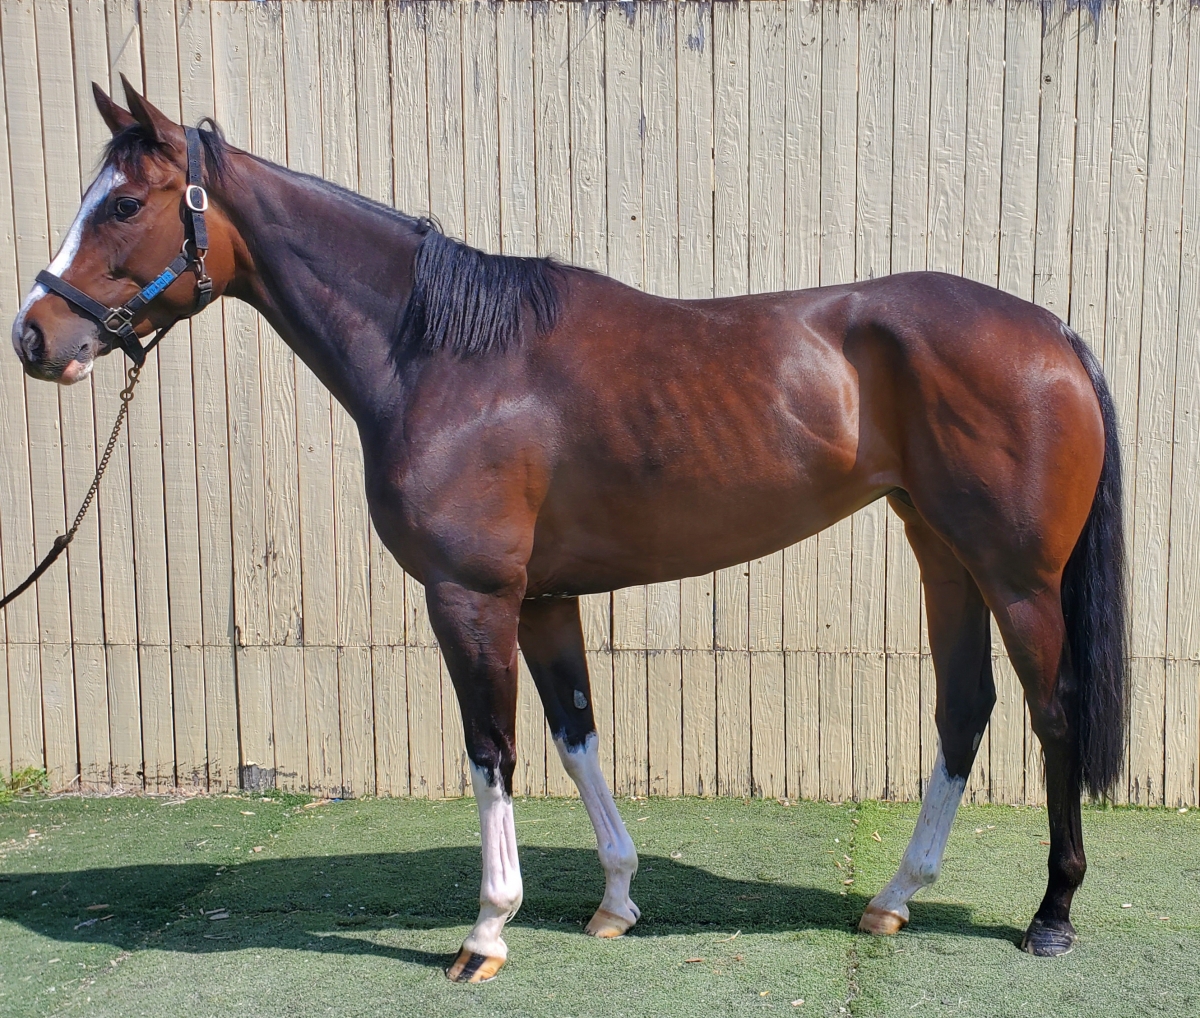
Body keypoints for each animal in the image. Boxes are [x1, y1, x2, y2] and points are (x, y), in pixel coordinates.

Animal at [12, 79, 1126, 981]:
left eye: (123, 204)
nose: (34, 335)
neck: (445, 356)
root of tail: (1053, 332)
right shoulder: (544, 599)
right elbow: (576, 732)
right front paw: (617, 900)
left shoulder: (471, 597)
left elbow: (492, 748)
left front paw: (485, 933)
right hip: (944, 555)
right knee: (964, 710)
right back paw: (893, 899)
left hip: (1018, 577)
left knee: (1053, 713)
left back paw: (1053, 914)